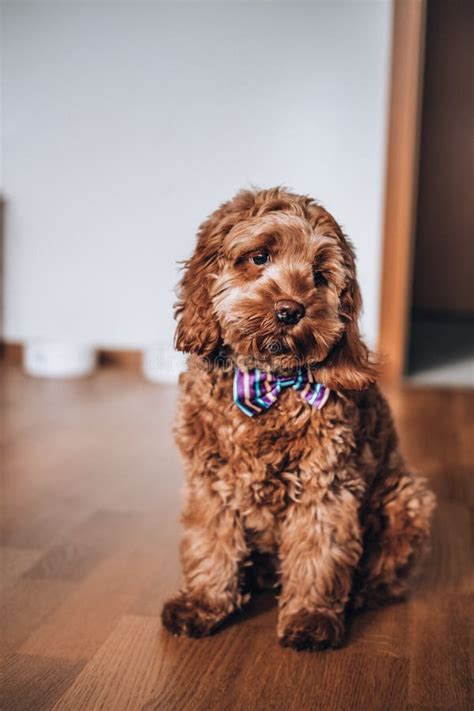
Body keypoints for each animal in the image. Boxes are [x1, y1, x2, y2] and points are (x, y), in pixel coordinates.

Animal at [161, 188, 436, 652]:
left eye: (320, 275)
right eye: (259, 257)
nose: (290, 309)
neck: (269, 381)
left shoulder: (325, 486)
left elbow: (318, 554)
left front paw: (311, 617)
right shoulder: (209, 483)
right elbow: (210, 542)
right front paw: (202, 603)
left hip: (408, 498)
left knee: (386, 576)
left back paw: (359, 594)